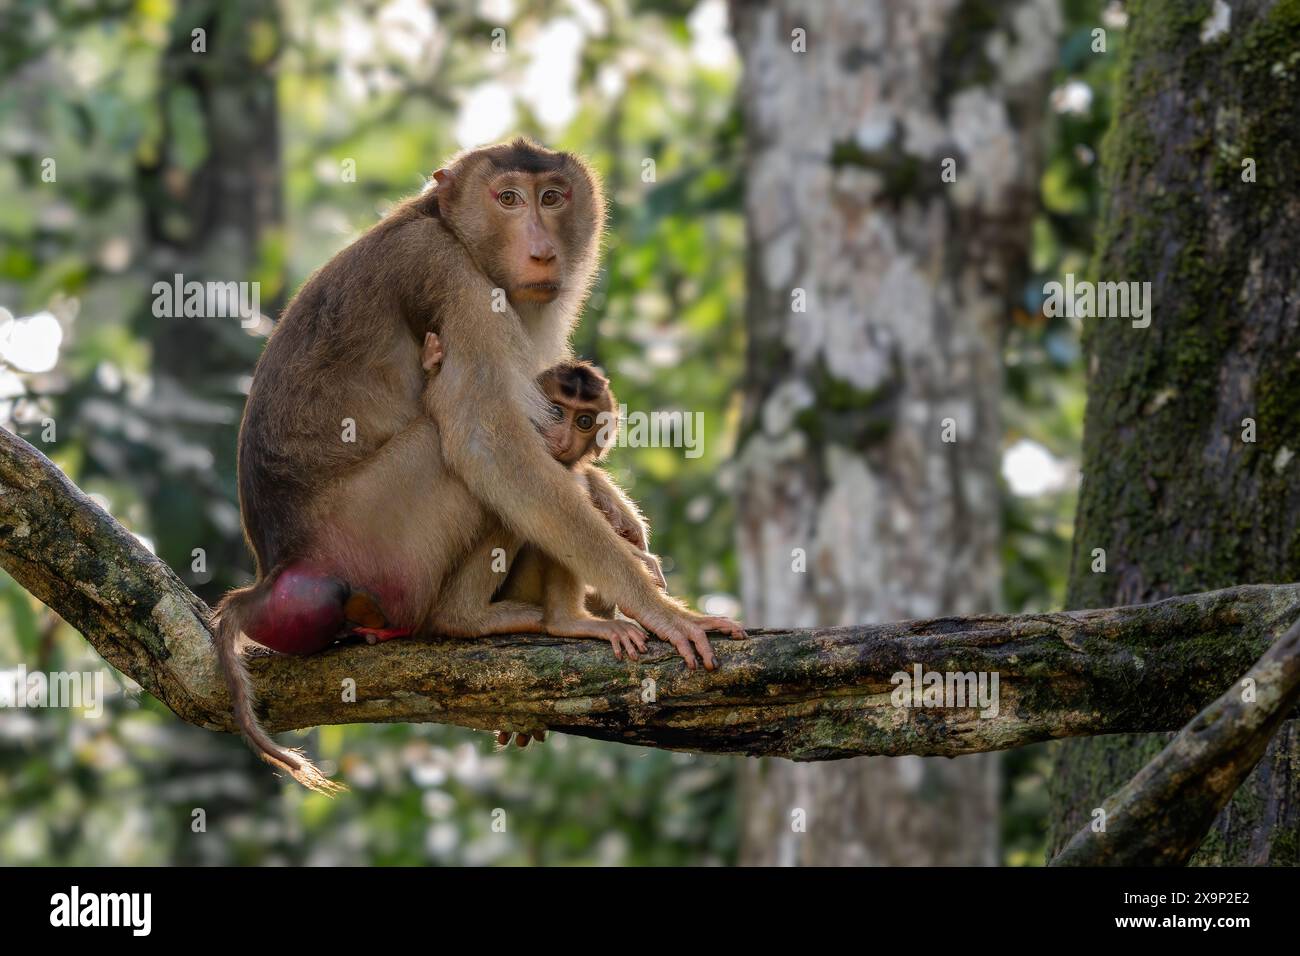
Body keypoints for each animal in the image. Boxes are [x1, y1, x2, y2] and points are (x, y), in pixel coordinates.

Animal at [212, 139, 744, 791]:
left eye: (552, 197)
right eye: (508, 198)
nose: (542, 249)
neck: (449, 227)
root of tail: (280, 566)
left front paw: (614, 505)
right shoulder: (453, 279)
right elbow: (488, 441)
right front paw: (661, 610)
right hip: (378, 539)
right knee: (465, 455)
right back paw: (471, 619)